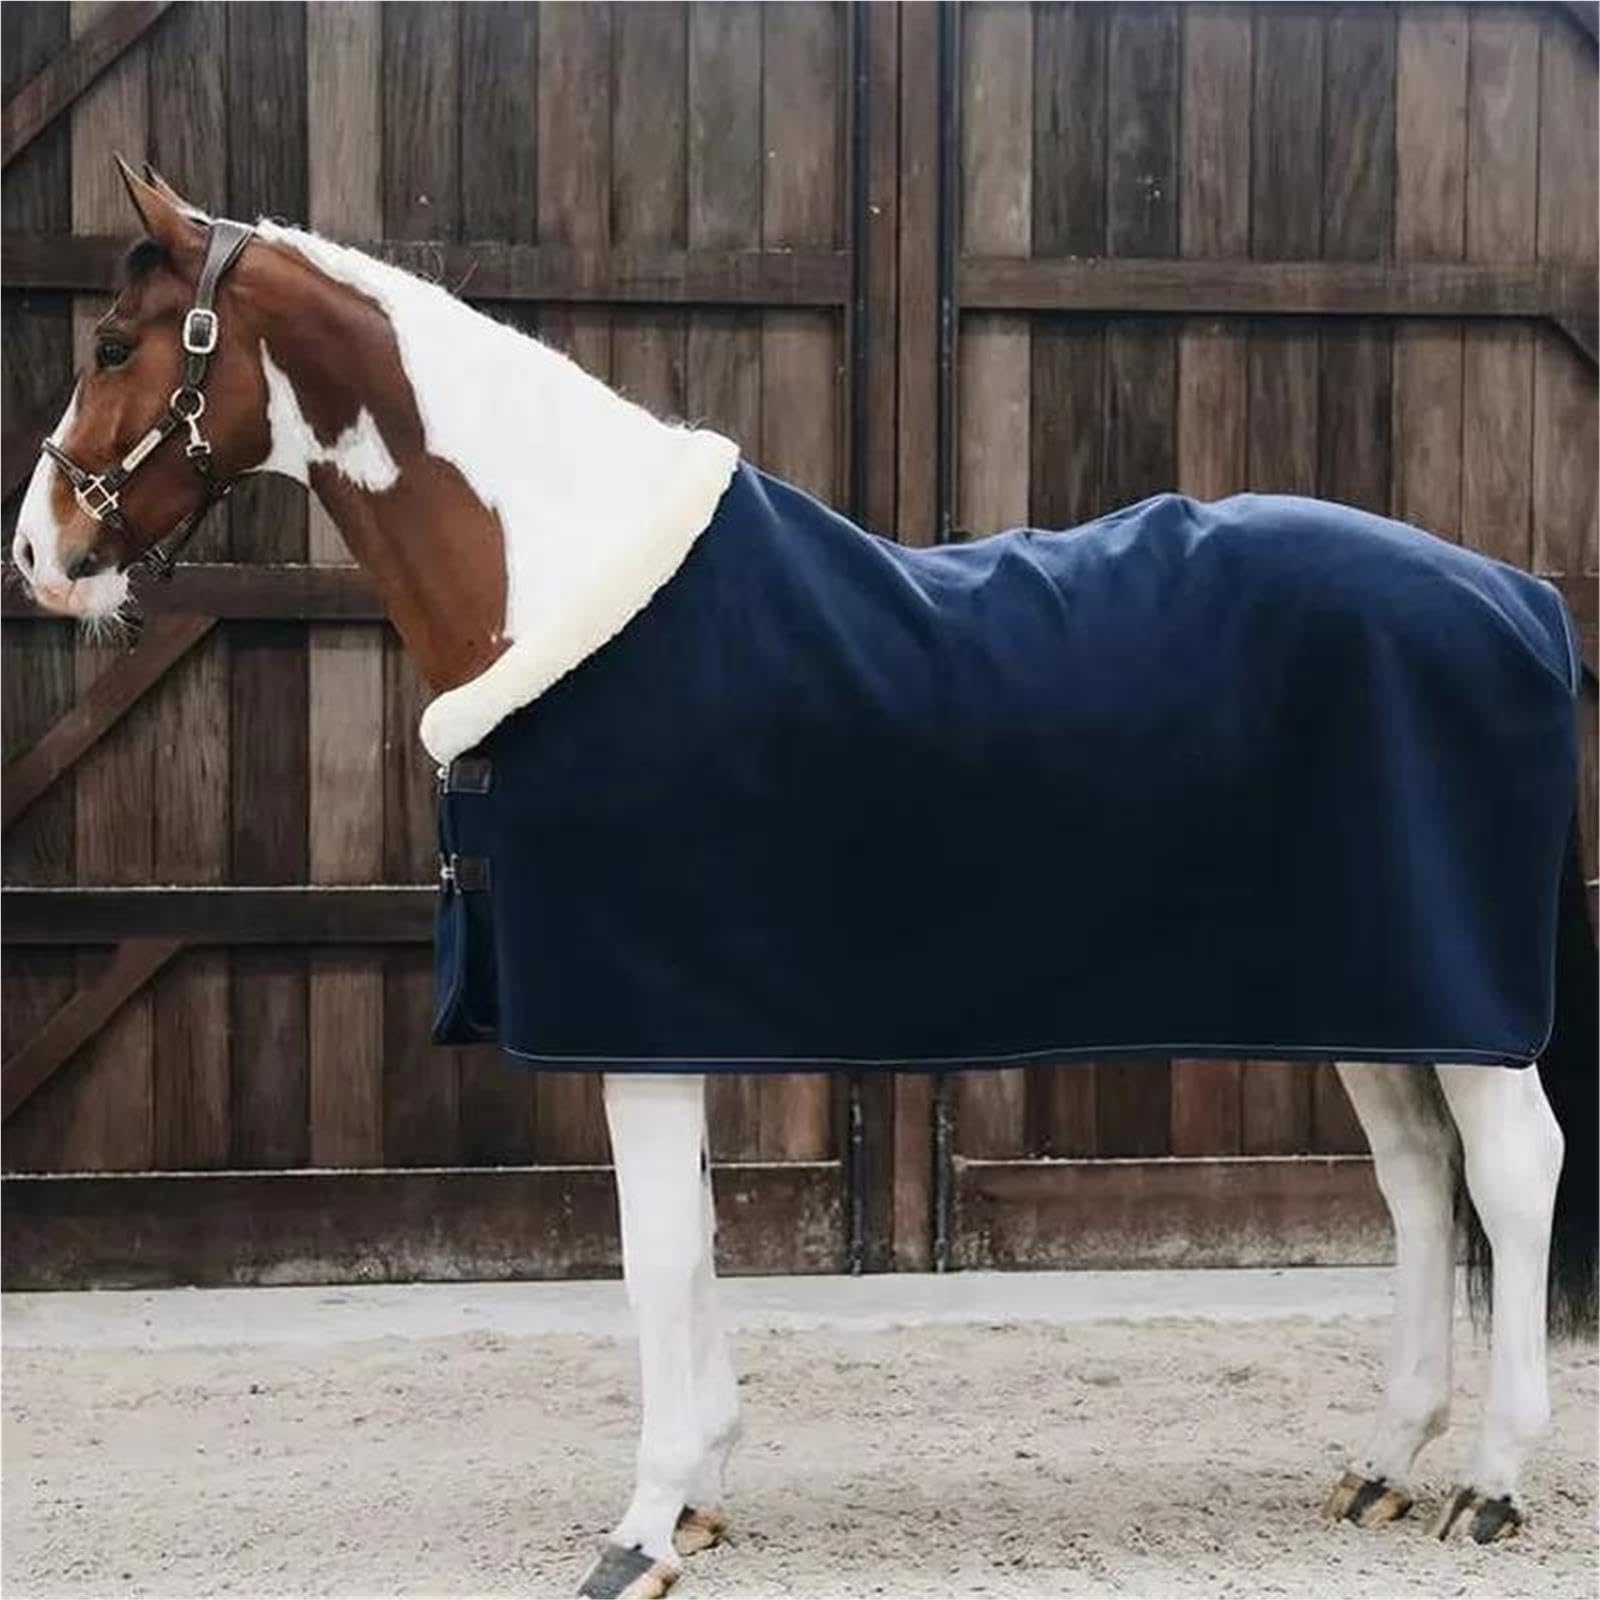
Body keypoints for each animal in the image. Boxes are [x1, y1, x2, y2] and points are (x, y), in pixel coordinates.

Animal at [12, 161, 1594, 1600]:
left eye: (116, 348)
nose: (40, 554)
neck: (571, 577)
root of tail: (1518, 599)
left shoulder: (638, 1021)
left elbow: (656, 1256)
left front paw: (642, 1528)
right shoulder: (673, 1023)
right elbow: (701, 1244)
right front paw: (702, 1494)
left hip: (1457, 1004)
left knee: (1514, 1174)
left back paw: (1492, 1484)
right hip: (1372, 994)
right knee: (1415, 1181)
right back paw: (1385, 1463)